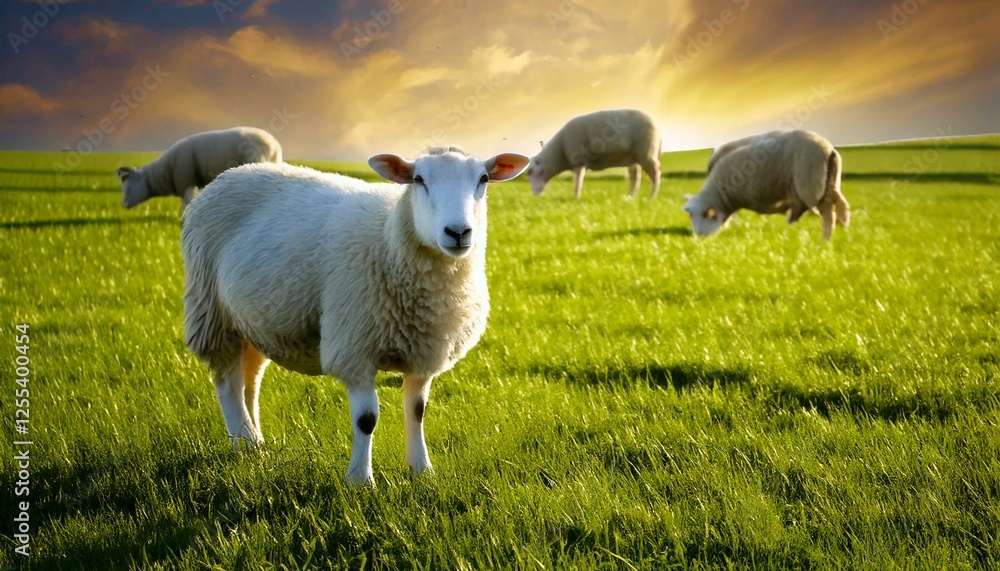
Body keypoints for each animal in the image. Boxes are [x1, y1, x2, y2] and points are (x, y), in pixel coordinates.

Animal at [116, 127, 282, 213]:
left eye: (128, 186)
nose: (123, 205)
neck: (163, 173)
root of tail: (274, 145)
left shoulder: (186, 181)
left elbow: (186, 204)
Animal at [181, 146, 529, 486]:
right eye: (418, 179)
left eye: (483, 179)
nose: (458, 232)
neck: (388, 241)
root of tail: (231, 173)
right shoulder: (355, 349)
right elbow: (366, 420)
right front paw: (360, 480)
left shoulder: (424, 354)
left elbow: (417, 411)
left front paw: (421, 470)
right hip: (212, 312)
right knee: (227, 382)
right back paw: (244, 443)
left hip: (254, 321)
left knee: (249, 381)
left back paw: (257, 440)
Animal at [527, 109, 662, 198]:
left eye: (531, 171)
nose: (535, 196)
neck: (560, 152)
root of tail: (657, 126)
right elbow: (577, 179)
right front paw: (576, 195)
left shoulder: (579, 160)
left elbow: (577, 179)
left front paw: (576, 196)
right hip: (635, 157)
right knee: (635, 176)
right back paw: (630, 196)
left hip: (647, 153)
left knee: (655, 174)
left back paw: (652, 196)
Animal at [683, 130, 850, 240]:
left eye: (703, 215)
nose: (698, 238)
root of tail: (828, 148)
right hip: (829, 182)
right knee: (841, 204)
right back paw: (843, 230)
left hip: (810, 185)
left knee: (828, 213)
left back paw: (825, 240)